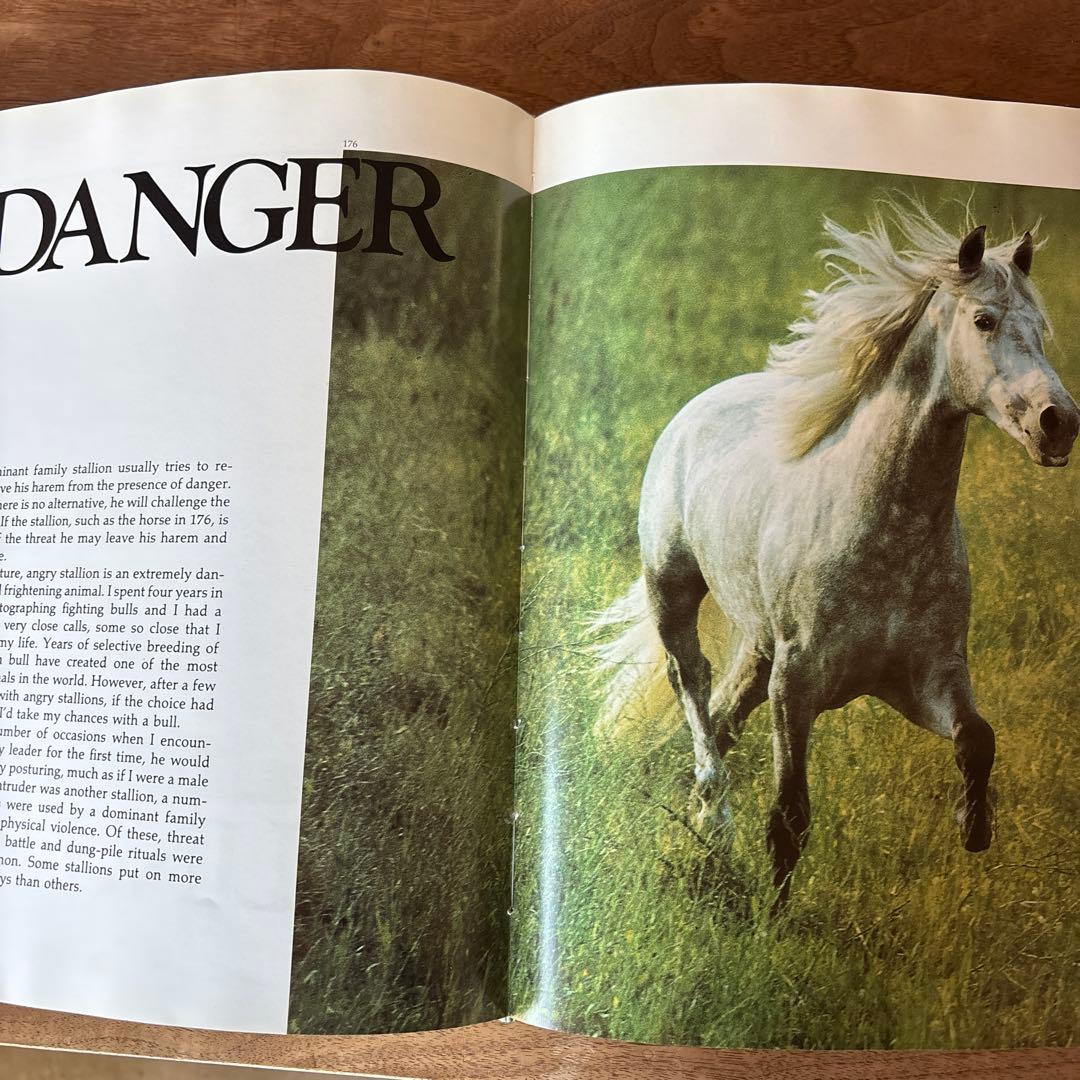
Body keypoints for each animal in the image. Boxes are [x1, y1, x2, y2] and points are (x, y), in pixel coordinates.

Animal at [594, 202, 1080, 909]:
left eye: (1040, 329)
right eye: (984, 321)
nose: (1058, 424)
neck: (887, 537)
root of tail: (699, 405)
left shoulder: (927, 678)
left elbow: (978, 739)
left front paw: (974, 826)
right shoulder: (796, 685)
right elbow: (790, 814)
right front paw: (772, 918)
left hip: (760, 640)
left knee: (725, 712)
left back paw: (702, 824)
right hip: (673, 588)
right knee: (693, 685)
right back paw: (715, 808)